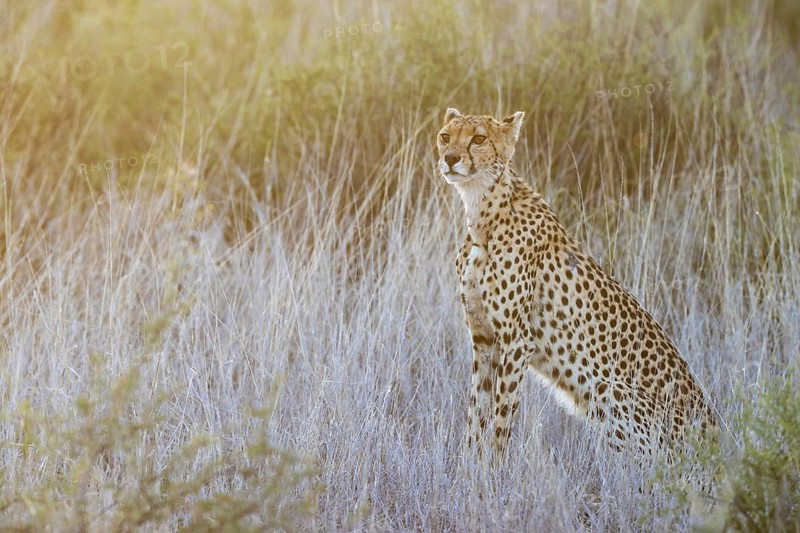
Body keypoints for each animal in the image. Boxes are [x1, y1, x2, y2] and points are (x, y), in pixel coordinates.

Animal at [437, 107, 717, 460]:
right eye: (445, 136)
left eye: (479, 138)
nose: (450, 158)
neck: (483, 213)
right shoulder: (483, 338)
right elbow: (476, 414)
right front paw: (468, 467)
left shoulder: (516, 341)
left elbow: (501, 422)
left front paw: (494, 470)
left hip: (607, 390)